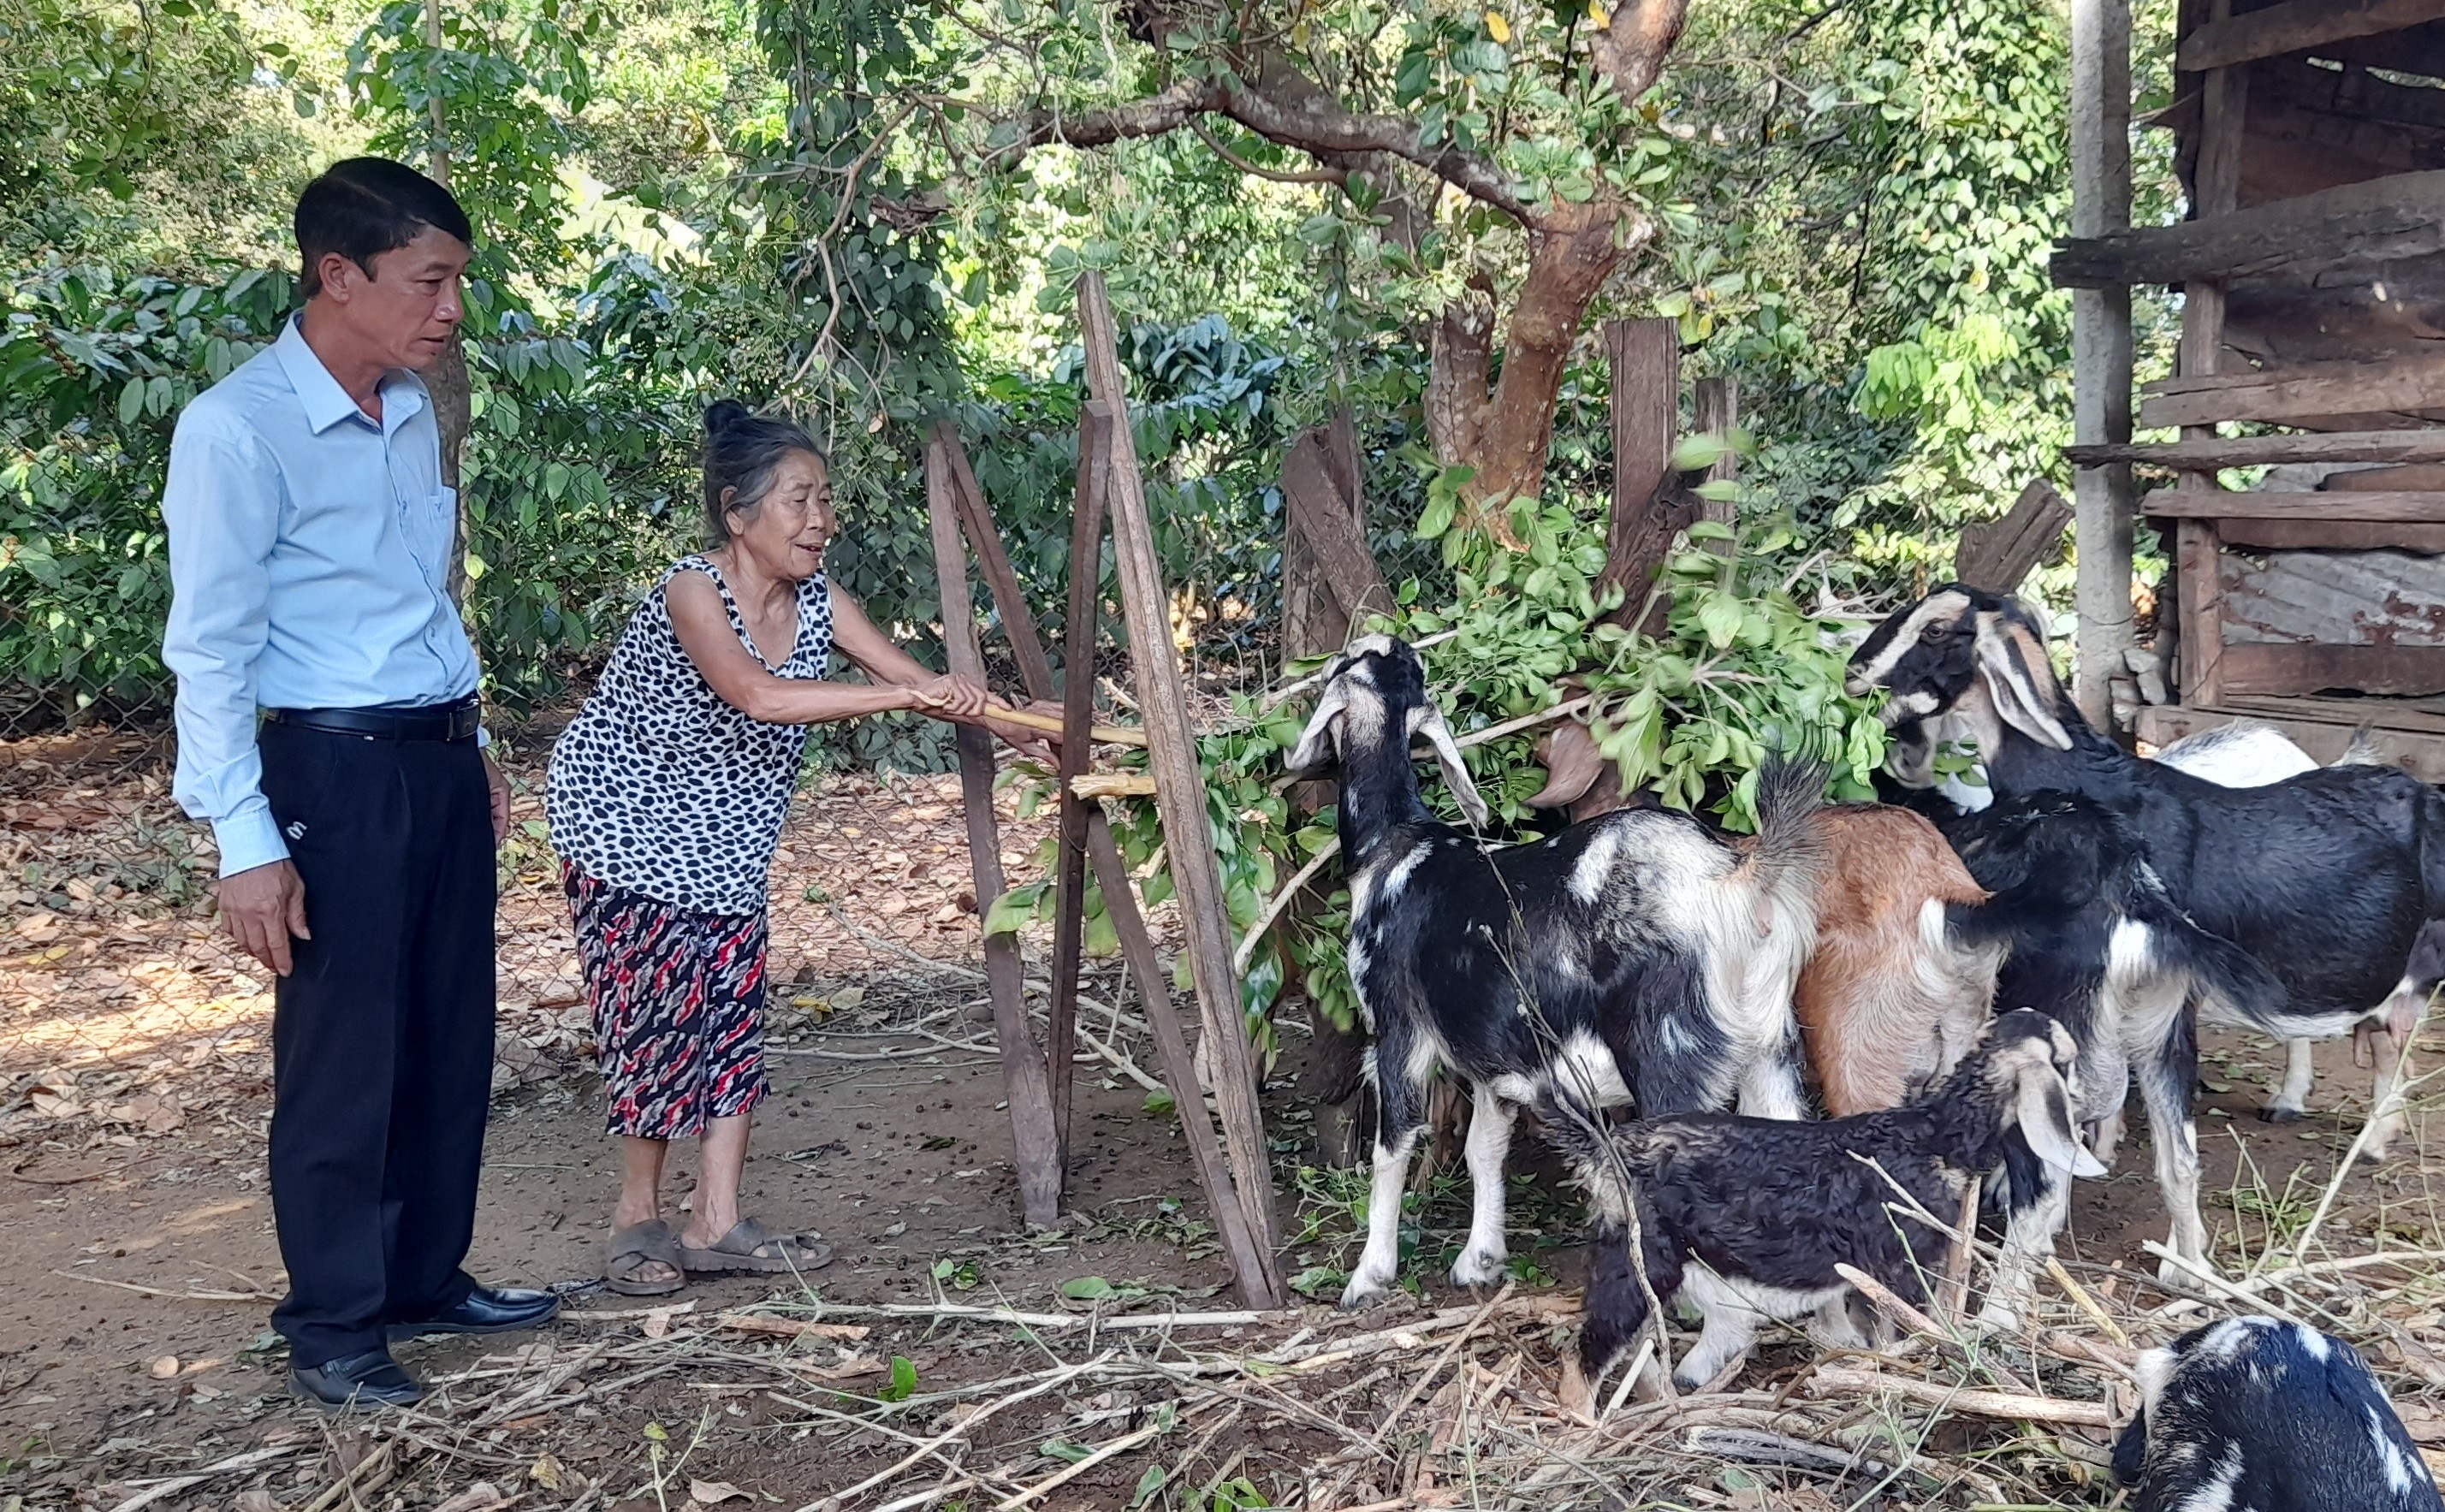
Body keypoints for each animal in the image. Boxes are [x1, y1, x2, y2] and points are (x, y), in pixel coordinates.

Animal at [1291, 631, 1829, 1302]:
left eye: (1343, 664)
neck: (1395, 846)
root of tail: (1735, 878)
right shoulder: (1494, 1047)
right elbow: (1484, 1146)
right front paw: (1480, 1258)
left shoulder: (1397, 1029)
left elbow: (1392, 1148)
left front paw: (1369, 1274)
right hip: (1770, 1045)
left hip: (1670, 1051)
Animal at [1545, 1008, 2103, 1379]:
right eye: (2070, 1060)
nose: (2091, 1104)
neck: (1935, 1135)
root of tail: (1605, 1146)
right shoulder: (1901, 1265)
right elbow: (1903, 1328)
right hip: (1638, 1258)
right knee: (1588, 1355)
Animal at [1848, 582, 2445, 1159]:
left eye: (1936, 629)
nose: (1854, 673)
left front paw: (2102, 1143)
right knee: (2384, 1038)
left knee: (2393, 1042)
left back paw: (2367, 1140)